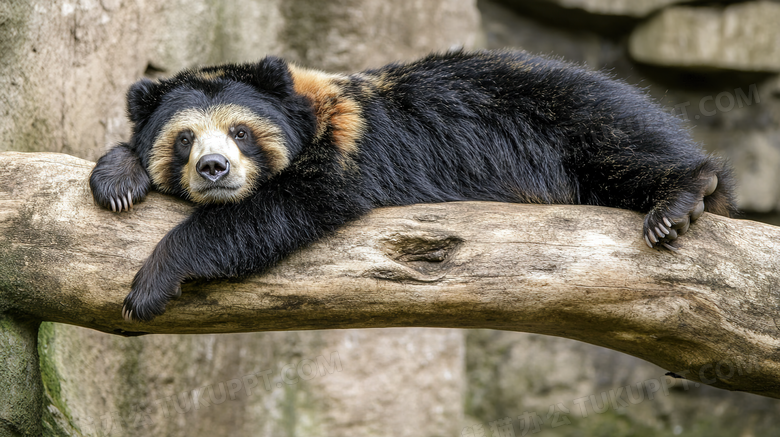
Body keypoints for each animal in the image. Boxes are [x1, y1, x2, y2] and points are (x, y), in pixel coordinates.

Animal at [91, 49, 736, 322]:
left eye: (241, 132)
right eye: (183, 139)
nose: (214, 169)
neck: (312, 114)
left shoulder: (352, 151)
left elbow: (280, 210)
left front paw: (149, 283)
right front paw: (117, 178)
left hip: (582, 118)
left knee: (630, 152)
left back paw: (679, 201)